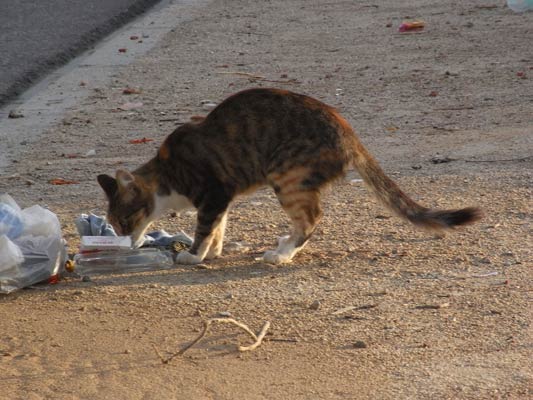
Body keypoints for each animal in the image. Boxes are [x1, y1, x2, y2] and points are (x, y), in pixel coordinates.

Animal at [96, 87, 482, 264]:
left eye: (125, 220)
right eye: (114, 224)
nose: (124, 240)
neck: (167, 175)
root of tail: (348, 131)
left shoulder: (213, 192)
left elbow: (205, 227)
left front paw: (194, 254)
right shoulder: (223, 198)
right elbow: (218, 227)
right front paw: (213, 251)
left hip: (286, 175)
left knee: (312, 218)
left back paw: (281, 255)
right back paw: (283, 245)